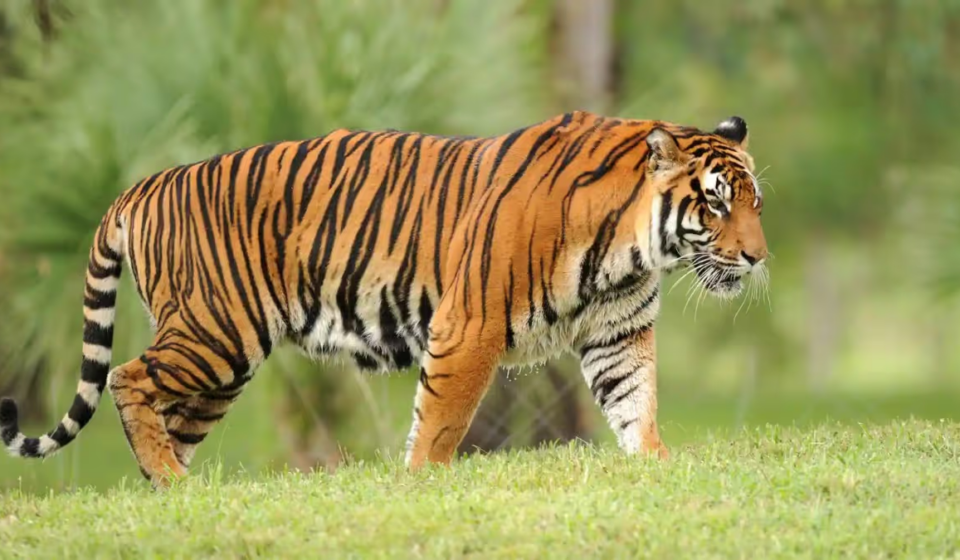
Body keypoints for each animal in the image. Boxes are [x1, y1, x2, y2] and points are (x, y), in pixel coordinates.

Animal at [0, 110, 768, 487]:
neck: (631, 246)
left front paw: (656, 467)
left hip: (220, 365)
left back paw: (172, 494)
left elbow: (636, 406)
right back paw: (166, 480)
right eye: (716, 204)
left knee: (166, 417)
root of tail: (142, 185)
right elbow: (441, 422)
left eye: (755, 203)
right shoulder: (469, 325)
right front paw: (421, 482)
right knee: (128, 378)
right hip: (215, 332)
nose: (758, 258)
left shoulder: (618, 335)